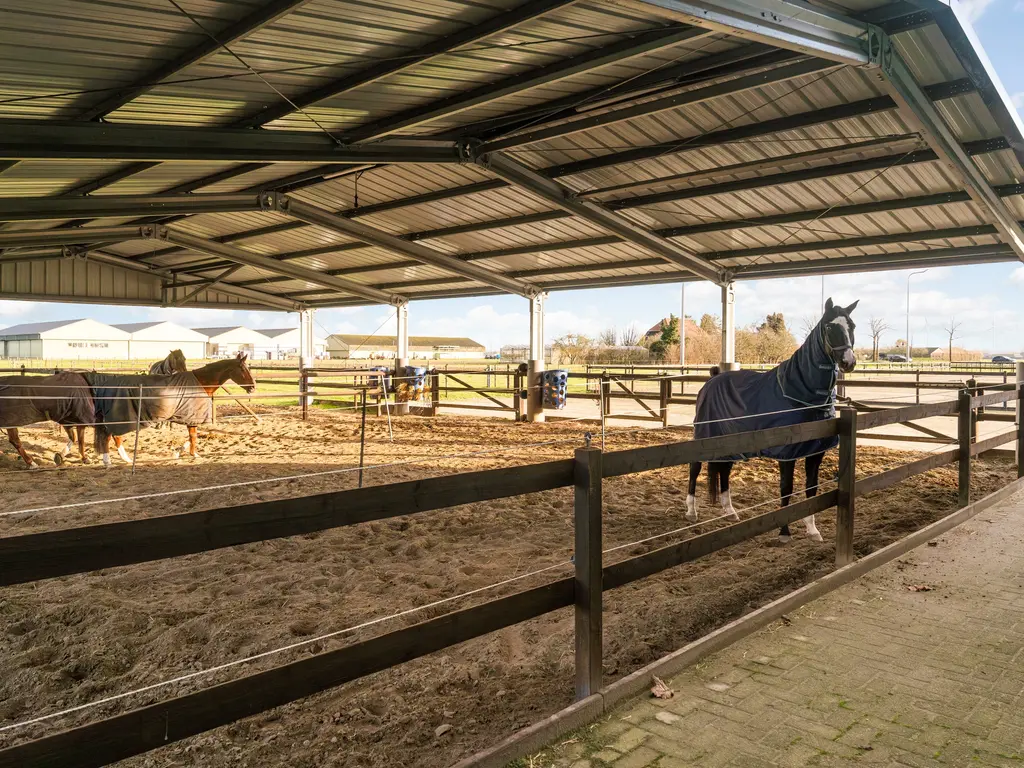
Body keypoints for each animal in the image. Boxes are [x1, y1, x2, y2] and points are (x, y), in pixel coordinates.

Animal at [688, 296, 856, 544]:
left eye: (851, 326)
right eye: (829, 327)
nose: (848, 362)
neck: (798, 391)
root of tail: (712, 378)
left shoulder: (815, 451)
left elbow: (811, 488)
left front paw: (812, 530)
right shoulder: (787, 453)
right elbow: (786, 488)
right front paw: (784, 532)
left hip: (730, 441)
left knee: (725, 470)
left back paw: (730, 512)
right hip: (703, 437)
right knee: (695, 467)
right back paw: (691, 511)